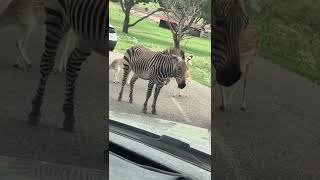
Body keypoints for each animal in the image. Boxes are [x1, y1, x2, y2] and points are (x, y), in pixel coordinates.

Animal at [27, 0, 107, 132]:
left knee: (73, 64)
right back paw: (35, 110)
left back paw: (69, 116)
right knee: (48, 61)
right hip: (57, 14)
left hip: (87, 34)